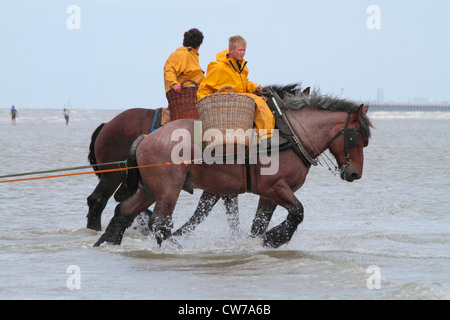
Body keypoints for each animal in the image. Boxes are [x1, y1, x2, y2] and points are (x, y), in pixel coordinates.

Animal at [96, 88, 372, 250]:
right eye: (355, 138)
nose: (355, 173)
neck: (287, 135)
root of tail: (146, 137)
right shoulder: (276, 188)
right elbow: (297, 212)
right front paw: (276, 237)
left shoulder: (267, 194)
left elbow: (259, 224)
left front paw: (259, 241)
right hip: (168, 190)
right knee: (159, 222)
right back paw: (174, 247)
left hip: (149, 189)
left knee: (124, 211)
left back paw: (107, 242)